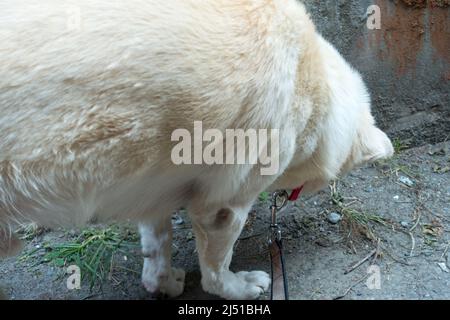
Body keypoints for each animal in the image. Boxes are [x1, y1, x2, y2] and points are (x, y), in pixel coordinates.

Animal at [0, 0, 392, 300]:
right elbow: (217, 267)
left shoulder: (153, 187)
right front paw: (238, 287)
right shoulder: (223, 206)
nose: (289, 196)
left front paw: (162, 282)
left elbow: (157, 242)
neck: (312, 84)